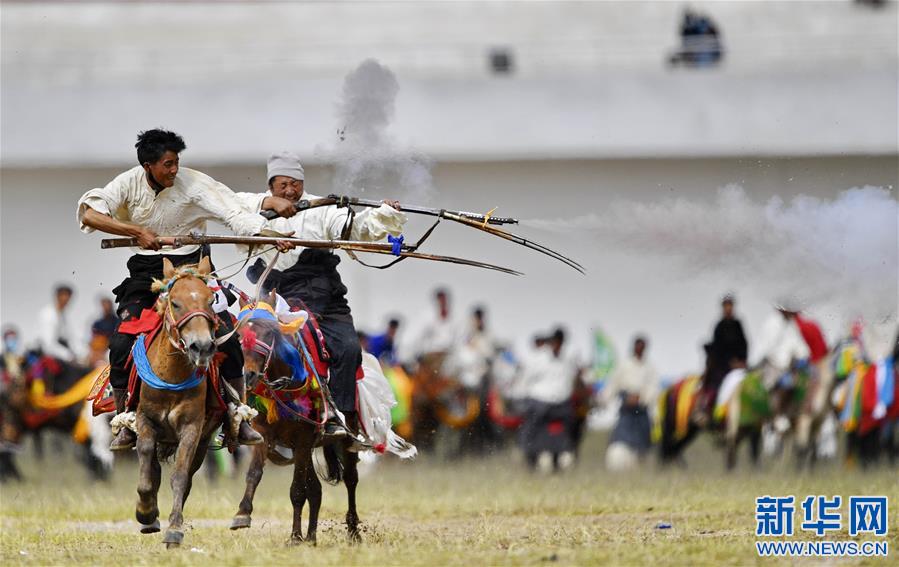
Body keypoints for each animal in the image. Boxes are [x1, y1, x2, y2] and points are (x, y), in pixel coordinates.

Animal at [230, 296, 364, 544]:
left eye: (270, 332)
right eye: (239, 334)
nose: (248, 375)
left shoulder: (303, 440)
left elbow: (297, 491)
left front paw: (294, 536)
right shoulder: (266, 435)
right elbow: (254, 474)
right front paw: (242, 514)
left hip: (344, 437)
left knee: (350, 478)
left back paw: (352, 531)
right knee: (316, 490)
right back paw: (311, 537)